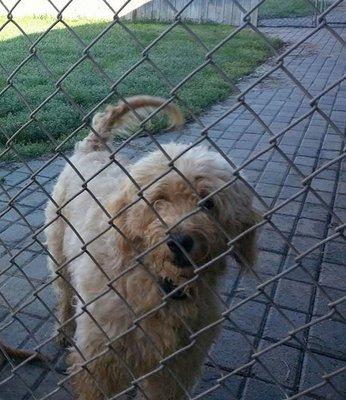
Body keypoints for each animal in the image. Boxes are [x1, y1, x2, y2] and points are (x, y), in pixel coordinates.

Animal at [44, 95, 258, 398]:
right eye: (158, 199)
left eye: (208, 203)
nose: (179, 241)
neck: (160, 283)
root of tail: (93, 149)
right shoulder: (100, 357)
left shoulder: (177, 366)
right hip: (58, 254)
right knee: (63, 294)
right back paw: (63, 329)